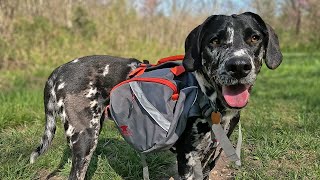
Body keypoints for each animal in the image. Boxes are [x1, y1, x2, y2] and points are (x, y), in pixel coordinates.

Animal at [29, 11, 280, 179]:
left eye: (254, 38)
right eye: (215, 40)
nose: (238, 66)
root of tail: (59, 70)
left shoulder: (210, 159)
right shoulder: (188, 160)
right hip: (85, 139)